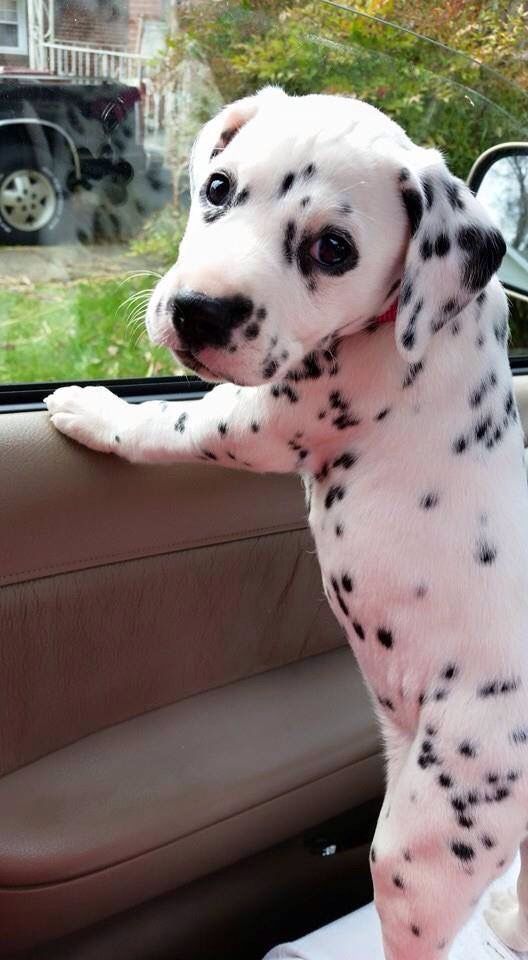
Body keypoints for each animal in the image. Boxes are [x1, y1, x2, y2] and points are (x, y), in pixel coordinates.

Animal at [45, 86, 528, 956]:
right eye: (217, 188)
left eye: (333, 249)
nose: (197, 312)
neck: (425, 320)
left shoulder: (256, 422)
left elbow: (163, 423)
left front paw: (89, 408)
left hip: (428, 841)